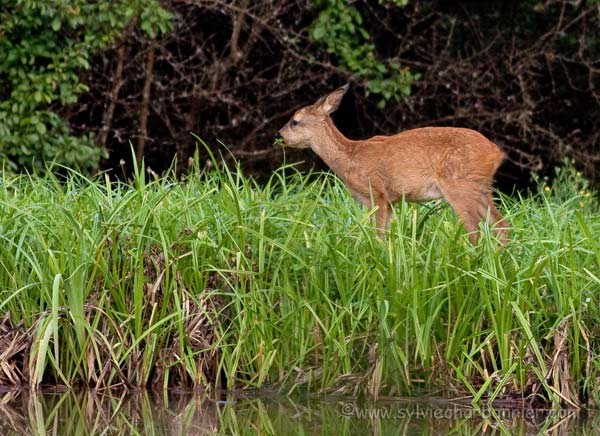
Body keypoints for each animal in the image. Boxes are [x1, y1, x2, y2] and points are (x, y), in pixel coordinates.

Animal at [278, 83, 508, 244]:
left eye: (294, 121)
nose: (279, 135)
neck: (349, 157)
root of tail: (496, 152)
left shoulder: (377, 193)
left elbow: (378, 236)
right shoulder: (389, 201)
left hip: (460, 186)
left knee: (476, 230)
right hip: (481, 187)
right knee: (501, 224)